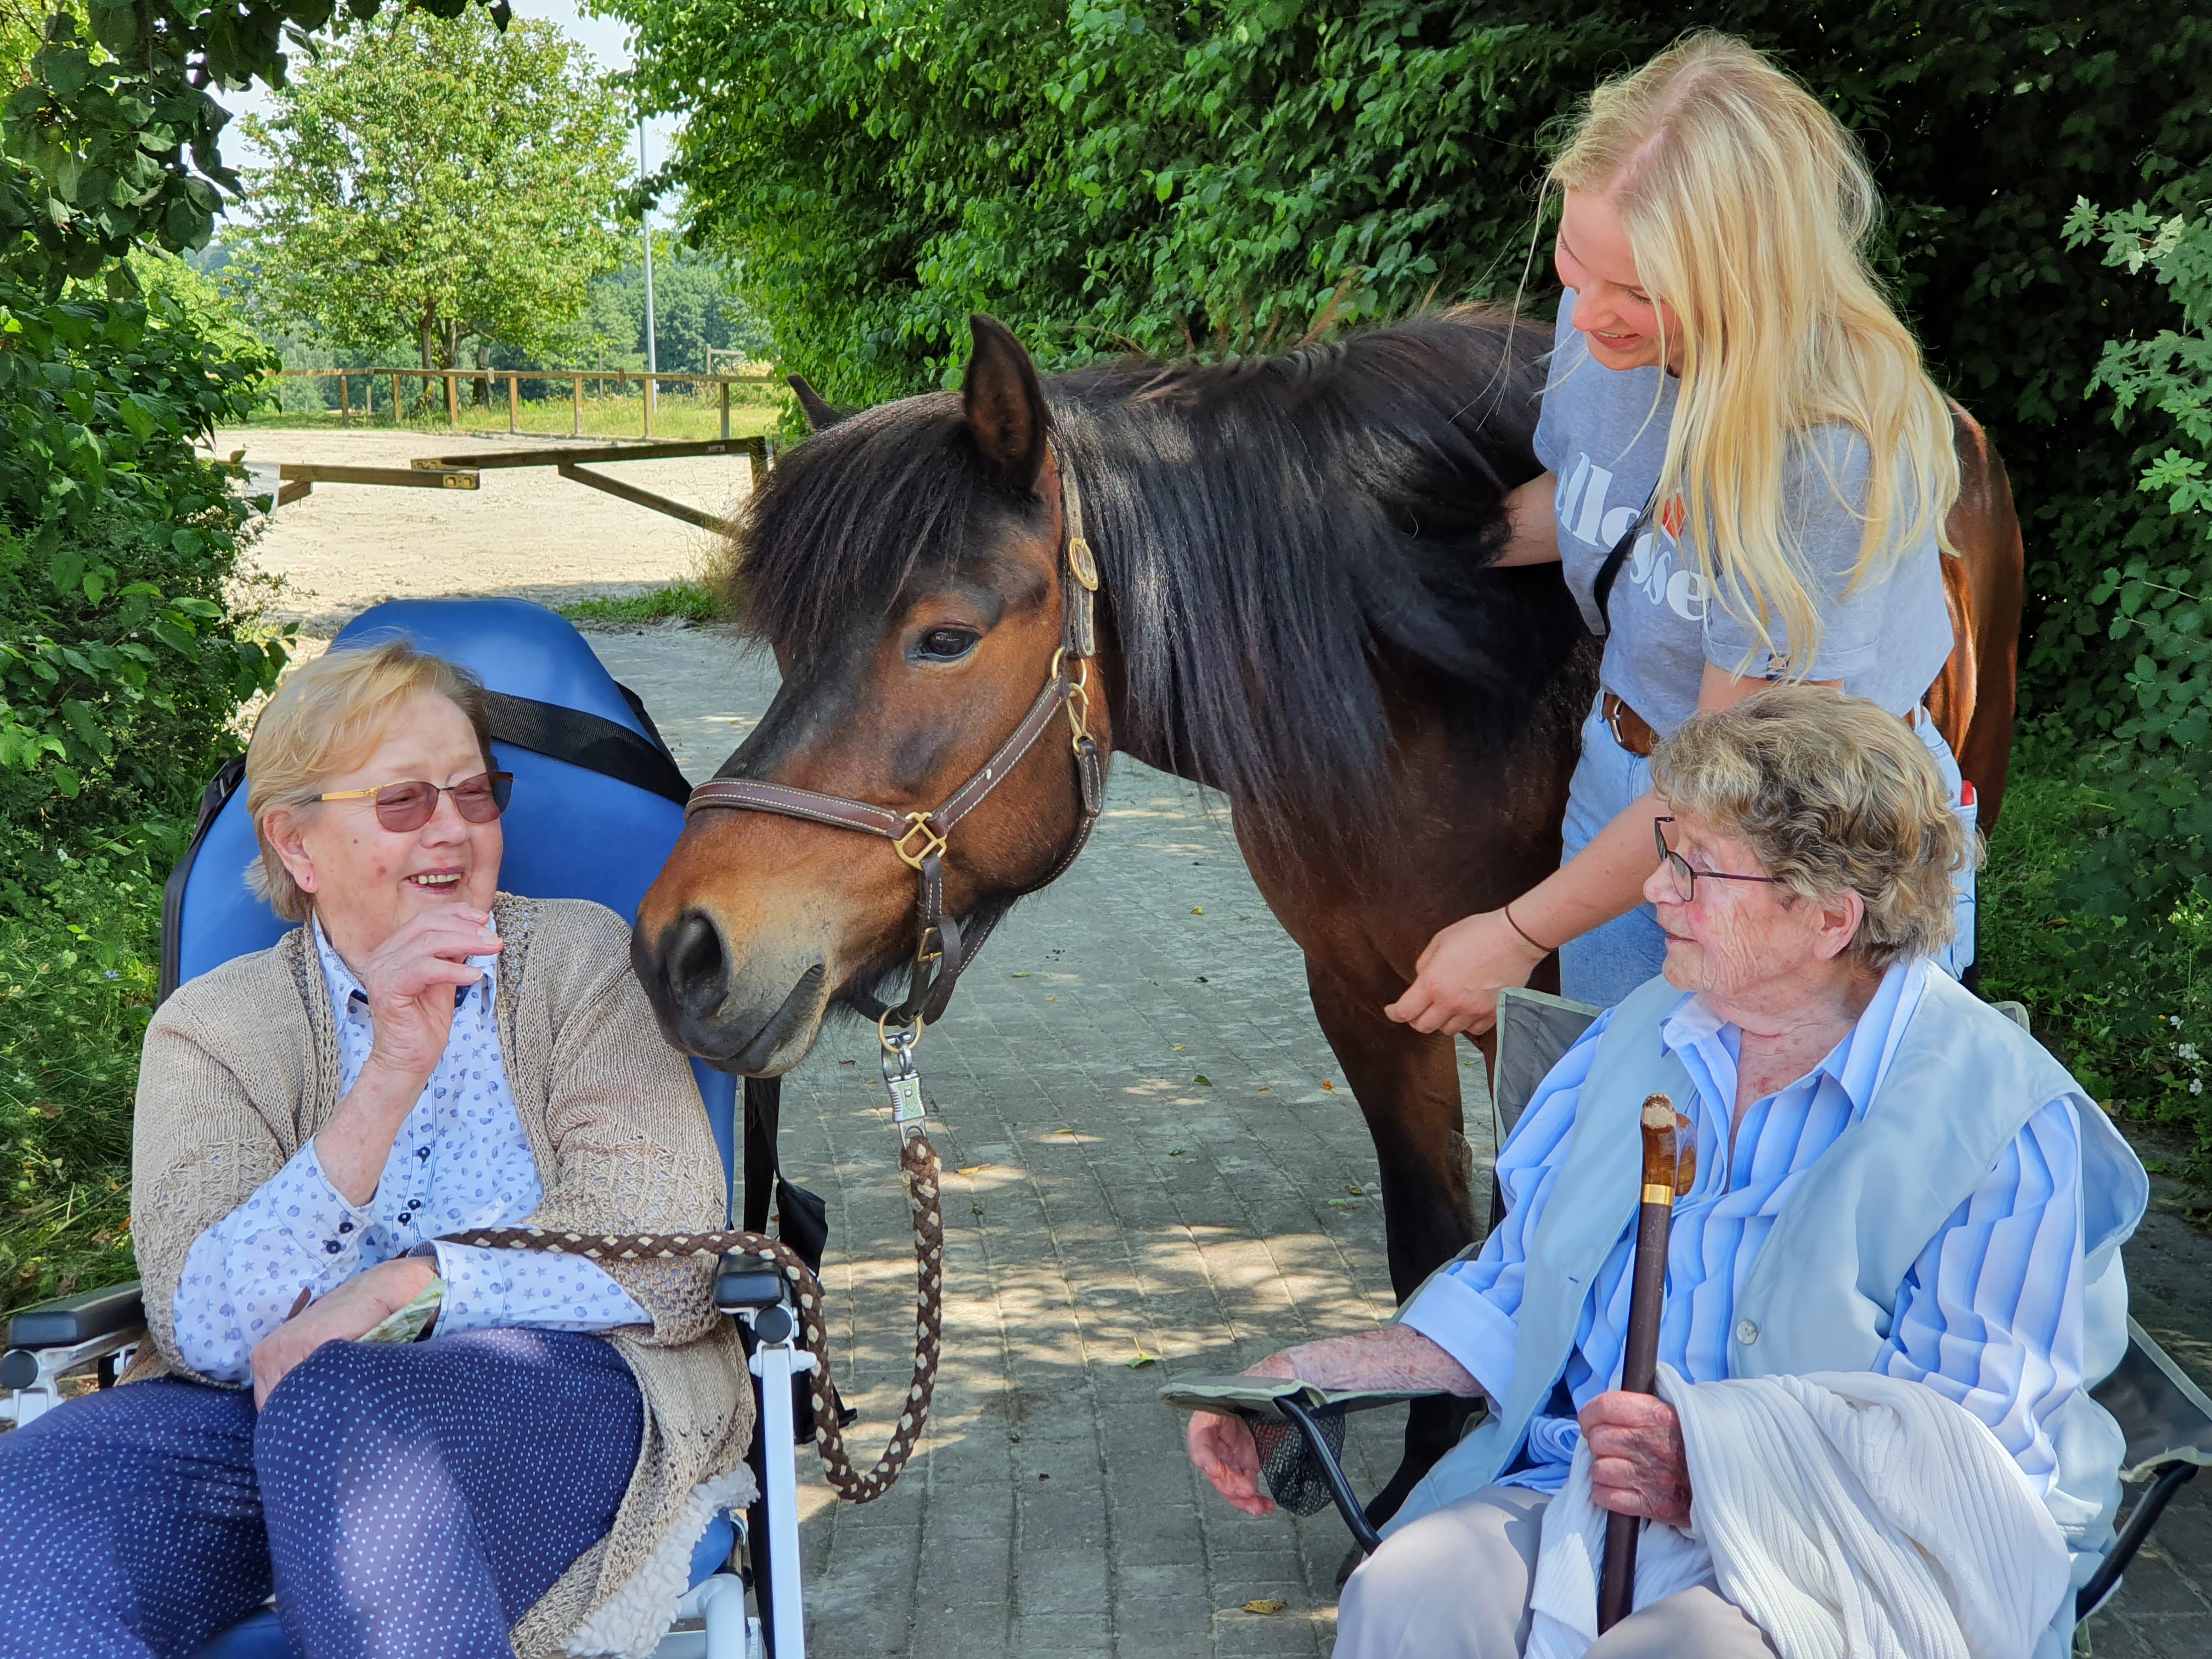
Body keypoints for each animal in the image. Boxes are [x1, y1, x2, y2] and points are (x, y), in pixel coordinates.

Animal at [628, 312, 2026, 1522]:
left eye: (946, 636)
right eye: (792, 646)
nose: (683, 949)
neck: (1434, 689)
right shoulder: (1367, 991)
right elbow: (1434, 1245)